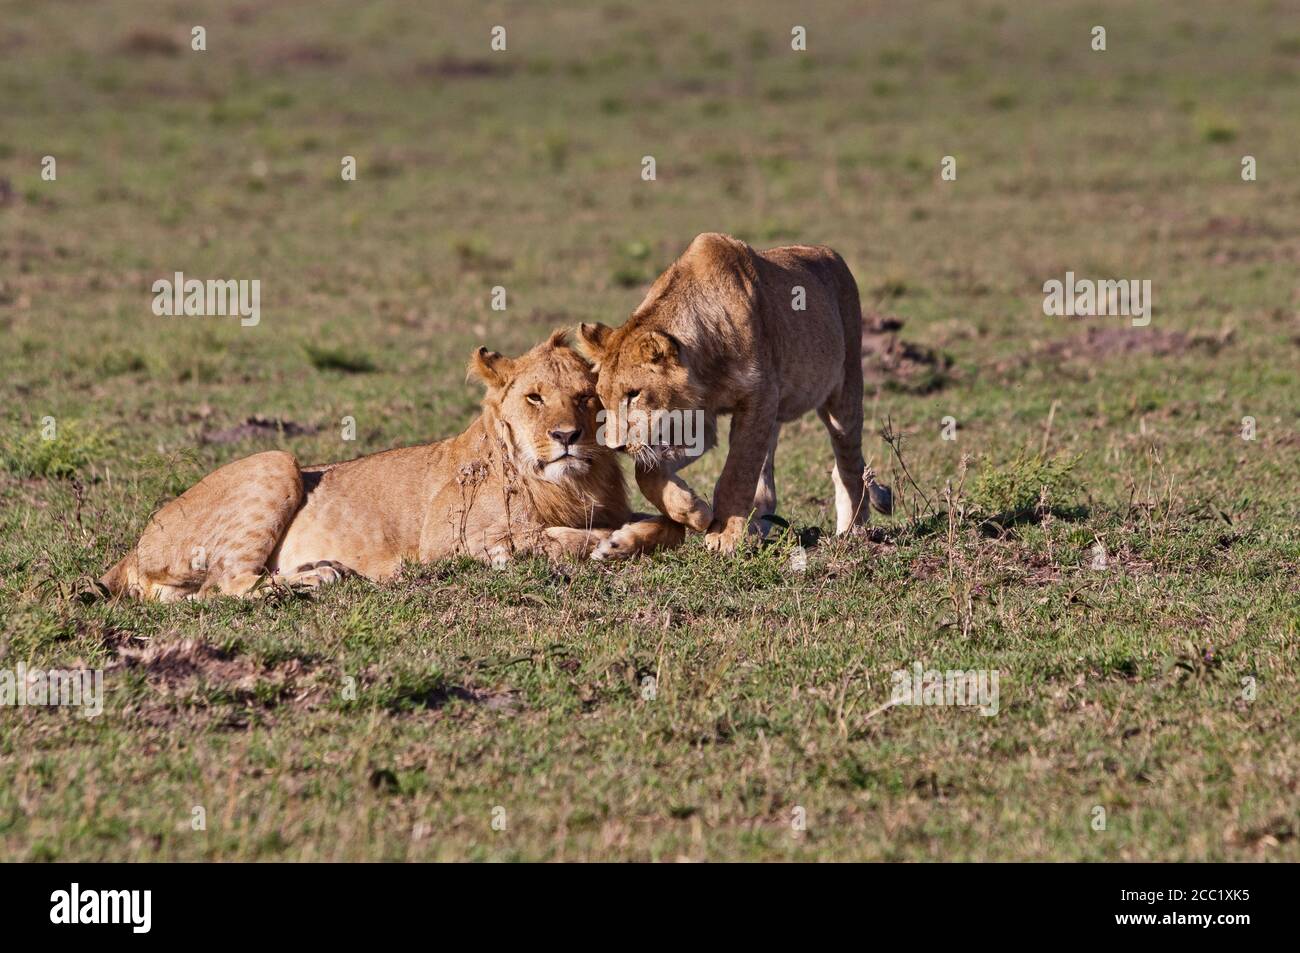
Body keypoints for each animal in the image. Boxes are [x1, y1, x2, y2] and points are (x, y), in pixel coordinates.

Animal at [94, 330, 681, 598]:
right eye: (534, 398)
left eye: (585, 397)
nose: (566, 437)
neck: (570, 482)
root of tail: (133, 547)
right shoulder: (448, 541)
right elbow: (552, 538)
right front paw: (600, 544)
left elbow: (666, 526)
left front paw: (629, 537)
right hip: (275, 459)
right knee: (231, 584)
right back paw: (321, 576)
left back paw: (321, 570)